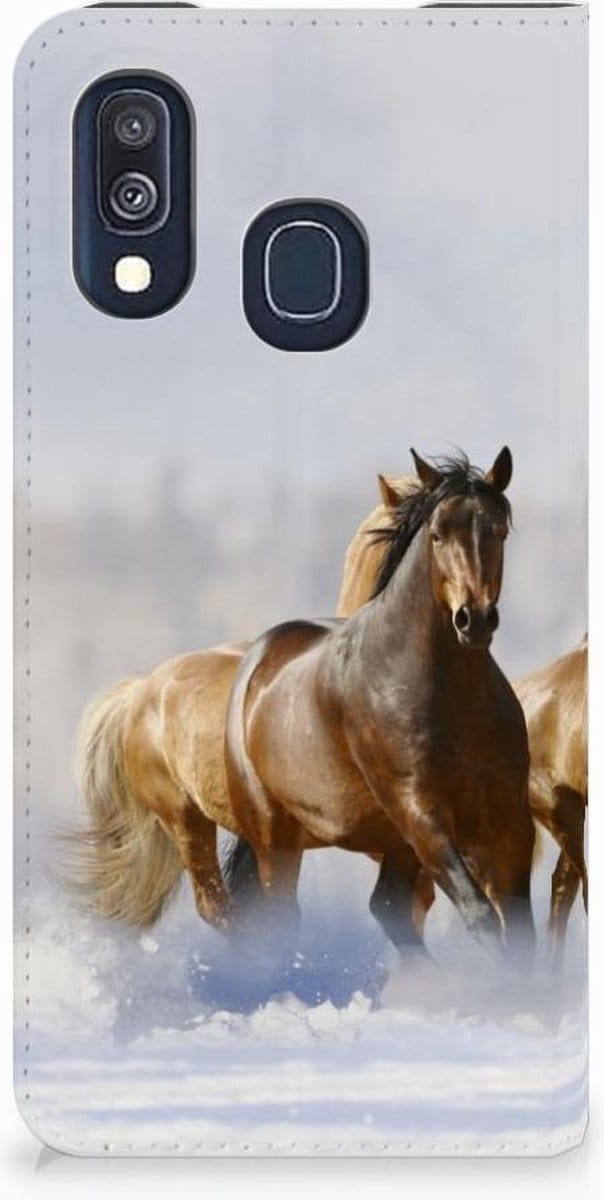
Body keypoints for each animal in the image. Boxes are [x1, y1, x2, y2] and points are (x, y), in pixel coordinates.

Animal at [223, 448, 535, 958]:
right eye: (437, 534)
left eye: (498, 531)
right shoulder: (422, 815)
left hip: (392, 844)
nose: (474, 619)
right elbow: (481, 916)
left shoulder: (509, 822)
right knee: (281, 917)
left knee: (388, 907)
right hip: (276, 836)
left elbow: (522, 933)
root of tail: (258, 660)